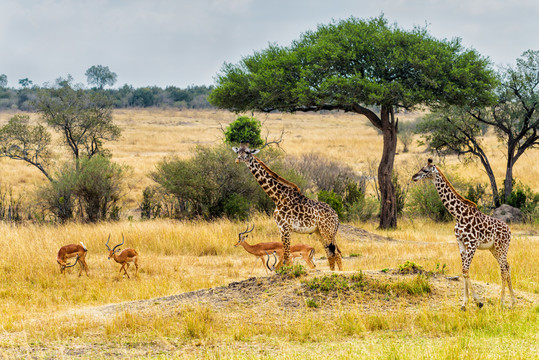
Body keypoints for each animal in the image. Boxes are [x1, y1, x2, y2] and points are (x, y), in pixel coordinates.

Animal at [416, 160, 516, 310]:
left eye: (426, 170)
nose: (414, 177)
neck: (458, 215)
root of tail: (509, 231)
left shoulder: (472, 243)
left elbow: (465, 270)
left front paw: (478, 302)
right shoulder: (461, 243)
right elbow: (464, 270)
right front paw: (464, 303)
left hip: (501, 247)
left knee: (503, 269)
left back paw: (503, 301)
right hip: (494, 249)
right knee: (507, 266)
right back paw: (513, 301)